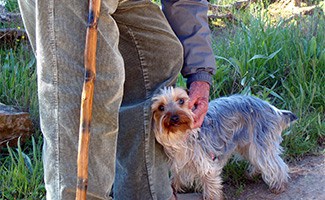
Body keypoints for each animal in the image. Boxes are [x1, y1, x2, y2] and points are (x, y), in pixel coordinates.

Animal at [151, 86, 296, 199]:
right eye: (161, 107)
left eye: (181, 101)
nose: (174, 117)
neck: (180, 135)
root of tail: (272, 109)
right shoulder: (180, 161)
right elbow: (176, 177)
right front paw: (173, 188)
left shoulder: (206, 163)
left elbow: (210, 184)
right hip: (247, 144)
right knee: (257, 159)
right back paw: (252, 174)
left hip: (261, 140)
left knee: (273, 162)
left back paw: (278, 185)